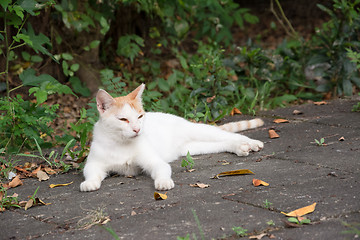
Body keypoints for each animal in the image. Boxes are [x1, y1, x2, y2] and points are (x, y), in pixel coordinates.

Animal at [79, 83, 264, 192]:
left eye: (140, 116)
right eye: (123, 119)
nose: (138, 129)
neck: (121, 143)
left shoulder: (154, 161)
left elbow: (162, 170)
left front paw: (163, 182)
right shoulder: (93, 163)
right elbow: (91, 173)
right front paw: (90, 183)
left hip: (199, 131)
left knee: (228, 134)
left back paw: (252, 143)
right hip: (192, 148)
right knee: (222, 143)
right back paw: (240, 148)